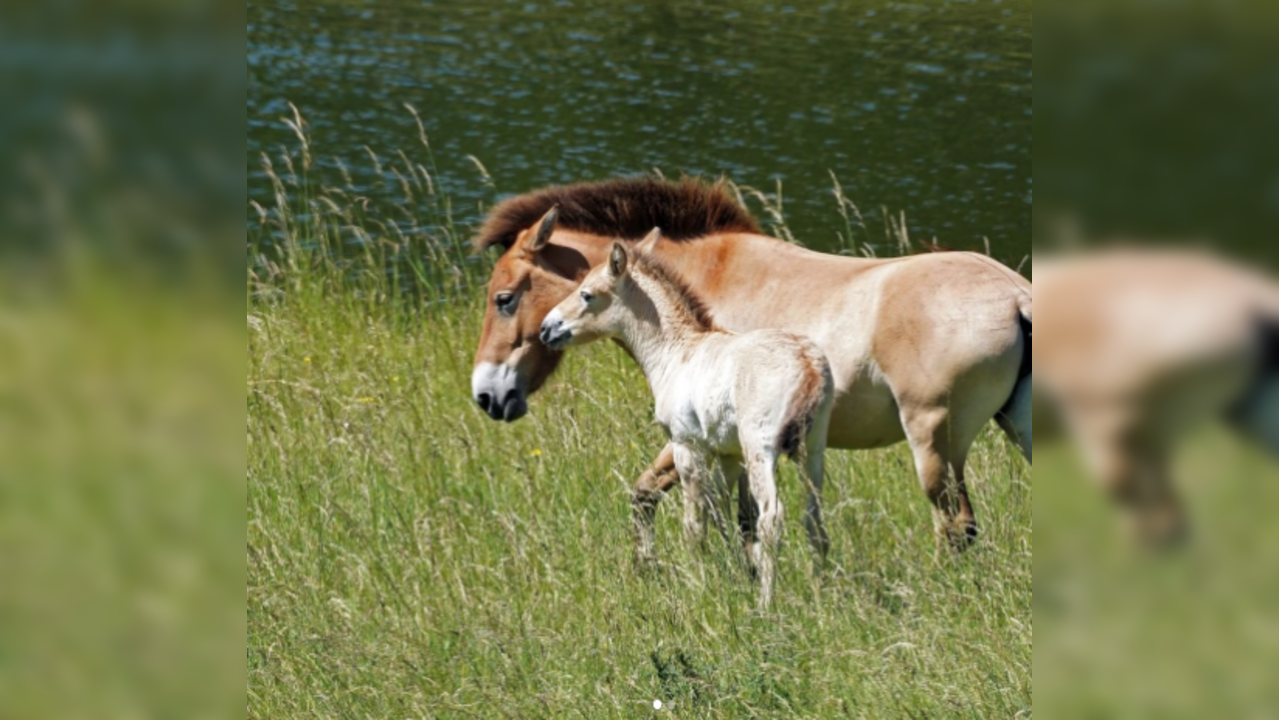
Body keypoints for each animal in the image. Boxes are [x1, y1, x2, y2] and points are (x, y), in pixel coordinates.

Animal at [470, 177, 1031, 561]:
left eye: (504, 298)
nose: (486, 395)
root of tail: (1017, 294)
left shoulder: (697, 437)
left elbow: (659, 498)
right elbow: (712, 514)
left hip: (934, 440)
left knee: (954, 526)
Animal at [539, 229, 835, 607]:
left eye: (587, 294)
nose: (547, 329)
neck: (675, 352)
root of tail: (809, 366)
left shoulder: (686, 445)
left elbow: (694, 523)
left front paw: (699, 583)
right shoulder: (727, 453)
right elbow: (720, 510)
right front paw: (735, 572)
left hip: (761, 447)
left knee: (772, 518)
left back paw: (766, 605)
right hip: (813, 447)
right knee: (814, 519)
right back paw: (820, 596)